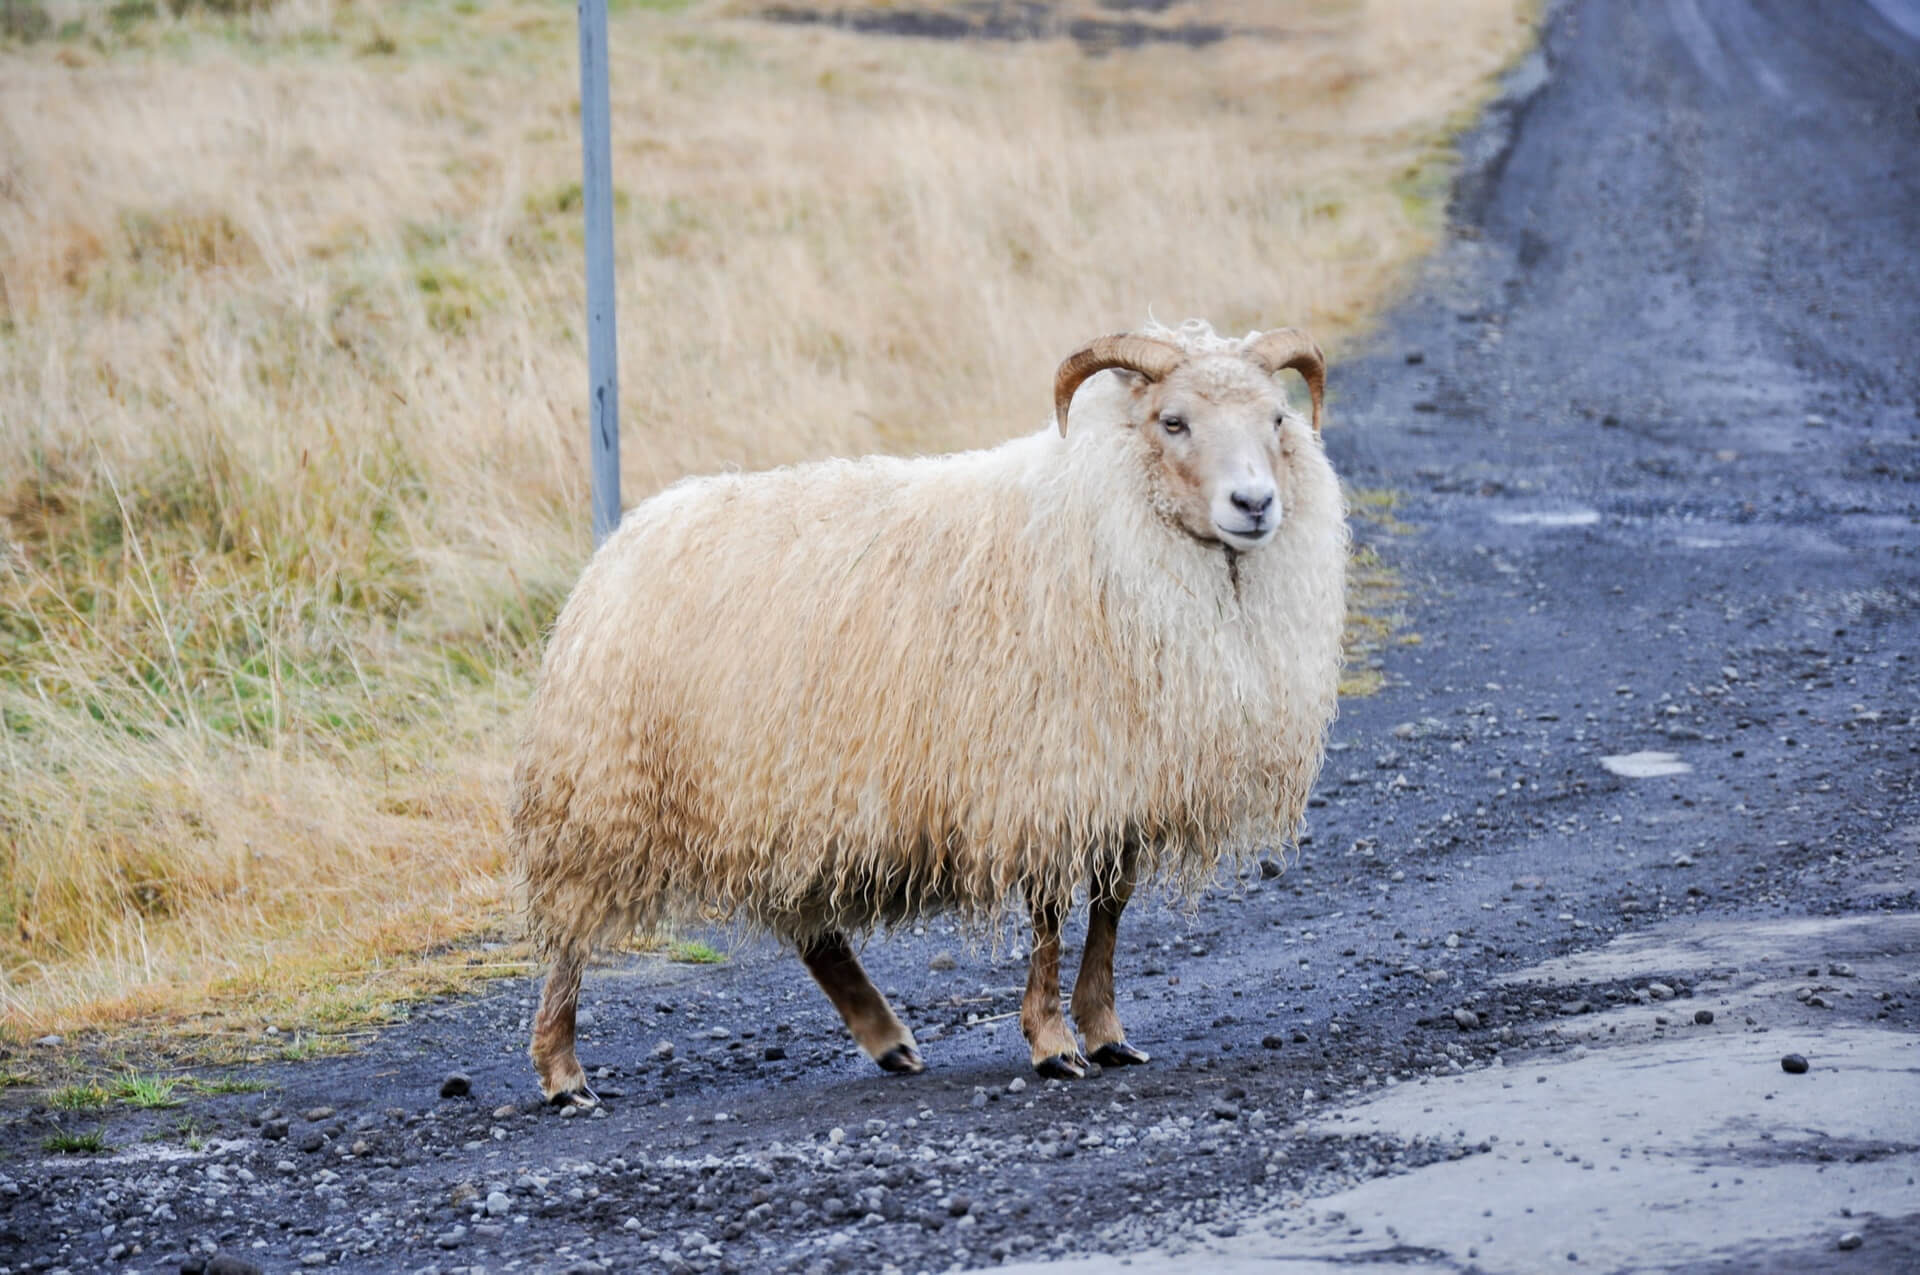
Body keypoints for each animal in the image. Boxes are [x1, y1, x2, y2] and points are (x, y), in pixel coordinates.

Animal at [514, 320, 1351, 1106]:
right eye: (1173, 421)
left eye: (1278, 417)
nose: (1255, 504)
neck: (1096, 517)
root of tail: (623, 540)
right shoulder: (1039, 776)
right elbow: (1050, 916)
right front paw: (1053, 1043)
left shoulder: (1120, 778)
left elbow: (1110, 912)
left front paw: (1107, 1032)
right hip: (603, 791)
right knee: (570, 934)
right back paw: (563, 1071)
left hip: (781, 797)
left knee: (810, 928)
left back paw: (887, 1037)